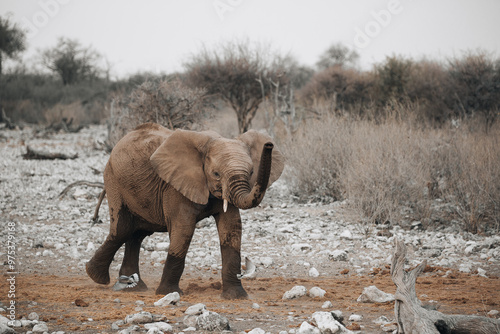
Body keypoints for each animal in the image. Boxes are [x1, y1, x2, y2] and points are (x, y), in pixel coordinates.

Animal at [84, 123, 284, 300]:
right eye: (216, 174)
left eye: (251, 172)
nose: (269, 145)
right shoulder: (174, 187)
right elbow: (184, 230)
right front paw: (168, 293)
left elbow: (232, 228)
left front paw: (236, 296)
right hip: (114, 181)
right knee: (122, 229)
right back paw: (96, 276)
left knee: (136, 234)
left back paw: (133, 287)